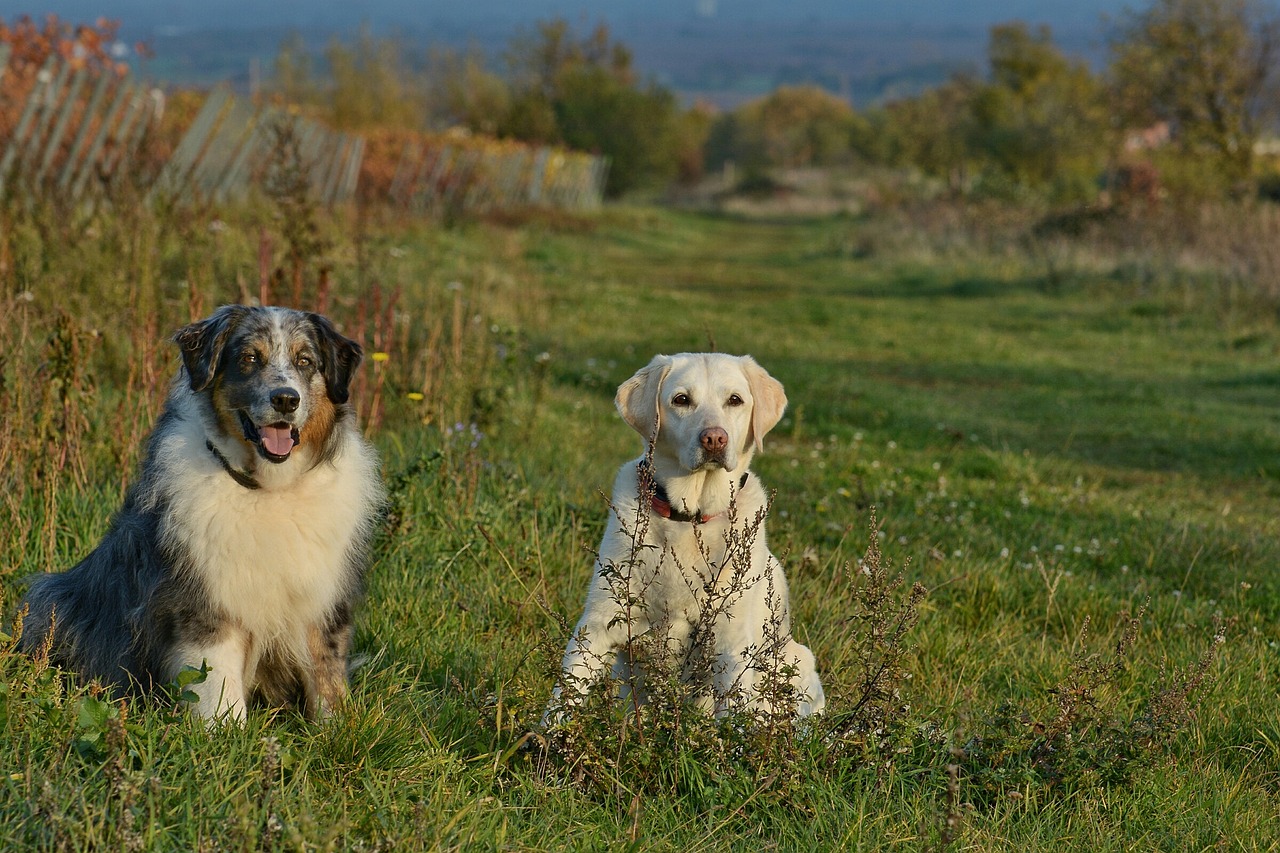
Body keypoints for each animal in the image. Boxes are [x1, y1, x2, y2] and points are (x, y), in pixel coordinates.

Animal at [547, 350, 824, 717]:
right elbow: (563, 699)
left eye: (734, 400)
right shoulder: (598, 625)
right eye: (681, 400)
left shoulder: (731, 649)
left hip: (796, 661)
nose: (714, 438)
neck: (690, 519)